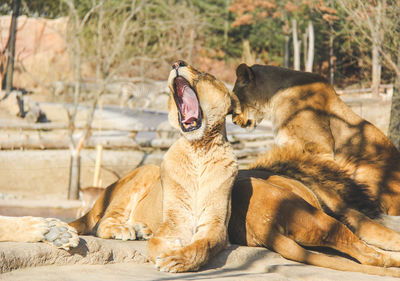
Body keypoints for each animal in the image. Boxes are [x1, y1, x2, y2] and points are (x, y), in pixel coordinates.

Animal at [69, 61, 400, 276]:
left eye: (206, 74)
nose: (178, 62)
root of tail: (264, 228)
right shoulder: (349, 214)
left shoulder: (216, 228)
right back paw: (129, 229)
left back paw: (138, 229)